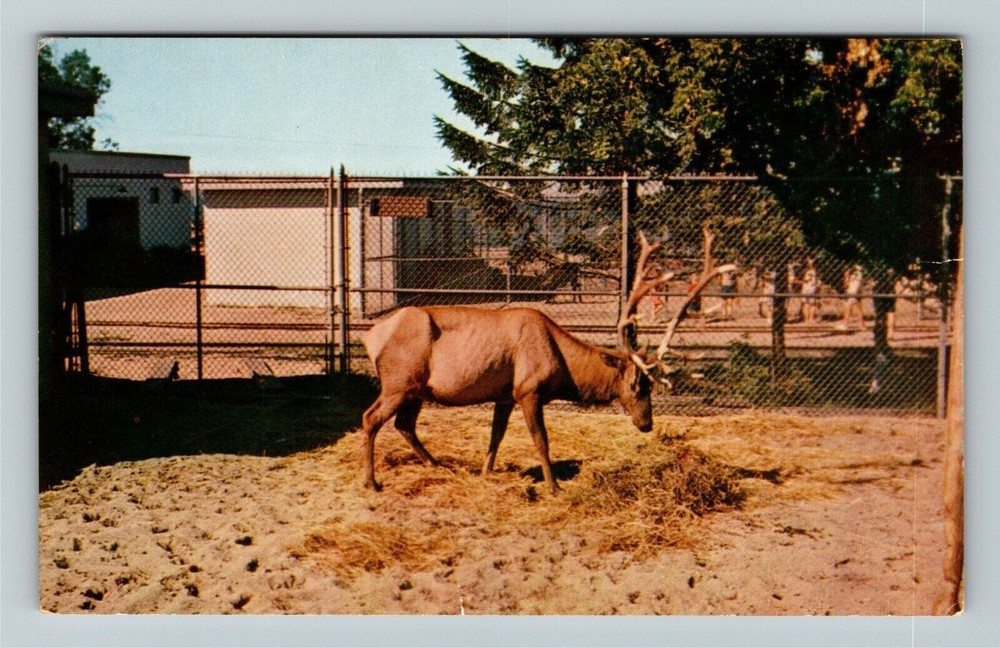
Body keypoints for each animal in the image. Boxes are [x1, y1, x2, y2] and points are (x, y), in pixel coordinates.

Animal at [358, 228, 735, 494]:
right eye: (635, 383)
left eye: (651, 385)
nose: (647, 424)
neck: (563, 370)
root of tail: (371, 337)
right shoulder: (529, 389)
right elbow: (541, 440)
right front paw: (554, 486)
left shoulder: (505, 395)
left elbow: (496, 436)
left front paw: (486, 471)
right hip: (398, 382)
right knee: (370, 418)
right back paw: (372, 481)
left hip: (414, 389)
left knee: (404, 425)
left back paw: (437, 465)